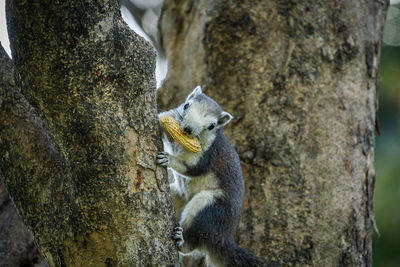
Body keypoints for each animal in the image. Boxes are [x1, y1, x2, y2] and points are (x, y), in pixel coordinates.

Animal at [155, 87, 270, 266]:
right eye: (186, 105)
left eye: (212, 126)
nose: (188, 129)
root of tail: (223, 237)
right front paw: (161, 116)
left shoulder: (208, 154)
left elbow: (191, 166)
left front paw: (169, 159)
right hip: (177, 196)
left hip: (207, 207)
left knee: (191, 242)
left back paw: (181, 239)